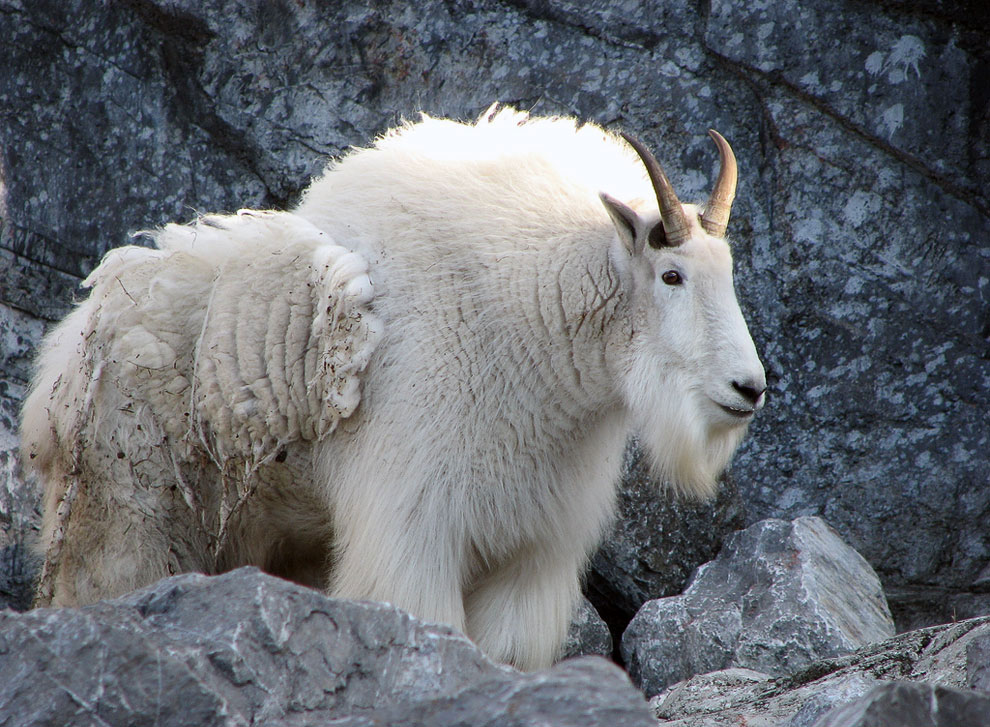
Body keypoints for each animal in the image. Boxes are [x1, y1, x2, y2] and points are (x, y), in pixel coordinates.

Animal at [21, 106, 768, 672]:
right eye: (671, 275)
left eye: (729, 270)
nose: (749, 388)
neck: (530, 309)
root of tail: (60, 362)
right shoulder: (414, 519)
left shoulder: (530, 547)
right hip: (127, 507)